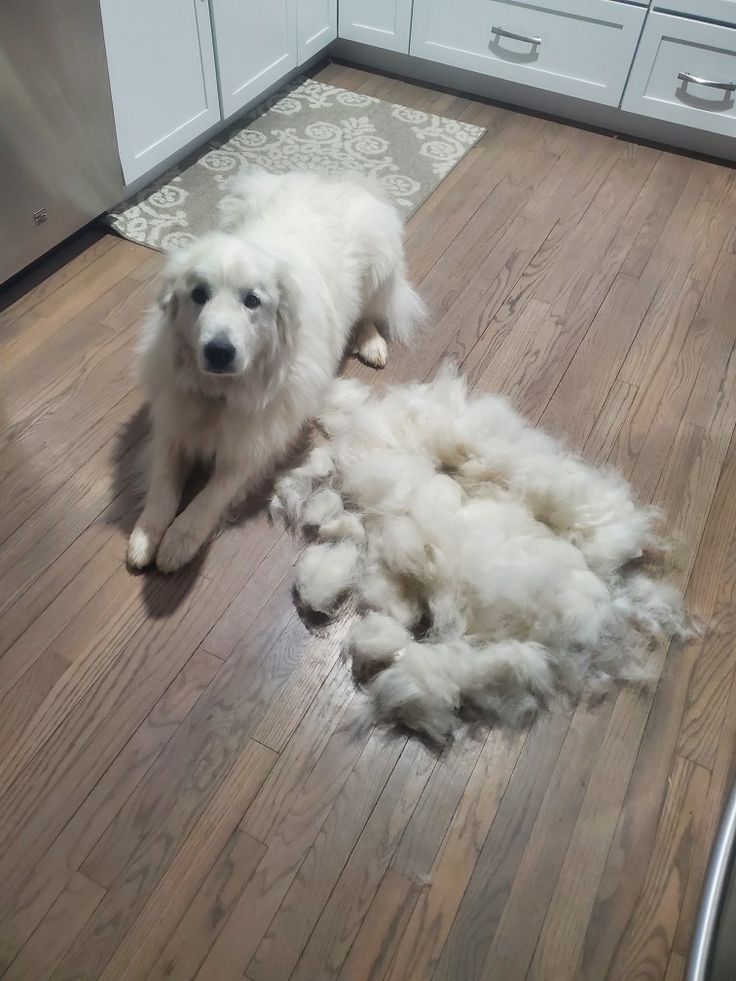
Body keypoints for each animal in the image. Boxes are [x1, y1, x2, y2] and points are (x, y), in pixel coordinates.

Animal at [129, 171, 422, 572]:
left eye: (252, 300)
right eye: (198, 294)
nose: (218, 351)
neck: (221, 392)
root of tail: (336, 181)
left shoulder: (255, 445)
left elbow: (212, 493)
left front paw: (180, 539)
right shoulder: (173, 425)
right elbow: (163, 485)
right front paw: (145, 536)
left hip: (378, 269)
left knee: (369, 312)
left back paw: (371, 342)